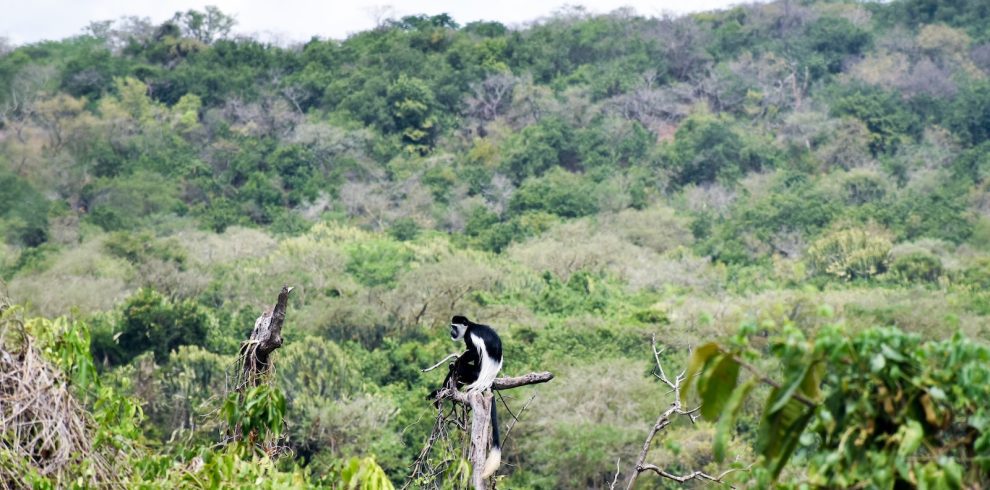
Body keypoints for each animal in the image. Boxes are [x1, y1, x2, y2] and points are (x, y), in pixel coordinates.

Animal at [430, 316, 504, 476]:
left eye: (454, 327)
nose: (451, 332)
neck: (470, 327)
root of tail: (488, 381)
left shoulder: (470, 337)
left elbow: (473, 352)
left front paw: (458, 359)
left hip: (474, 374)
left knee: (462, 368)